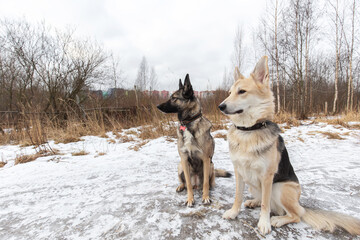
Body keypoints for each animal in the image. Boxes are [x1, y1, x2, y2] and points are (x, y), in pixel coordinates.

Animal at [158, 74, 231, 206]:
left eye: (174, 98)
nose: (158, 107)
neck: (188, 123)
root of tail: (196, 184)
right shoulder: (184, 158)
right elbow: (187, 183)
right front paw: (190, 199)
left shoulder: (206, 159)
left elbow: (206, 183)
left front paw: (206, 197)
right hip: (180, 166)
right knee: (185, 183)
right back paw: (181, 187)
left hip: (211, 165)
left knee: (209, 183)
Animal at [218, 55, 360, 234]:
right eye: (229, 93)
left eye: (242, 91)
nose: (220, 106)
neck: (249, 130)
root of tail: (300, 204)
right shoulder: (239, 171)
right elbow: (237, 196)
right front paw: (233, 212)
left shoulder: (267, 177)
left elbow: (265, 205)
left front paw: (264, 223)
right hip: (254, 186)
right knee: (266, 201)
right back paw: (253, 202)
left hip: (280, 188)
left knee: (294, 214)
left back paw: (278, 219)